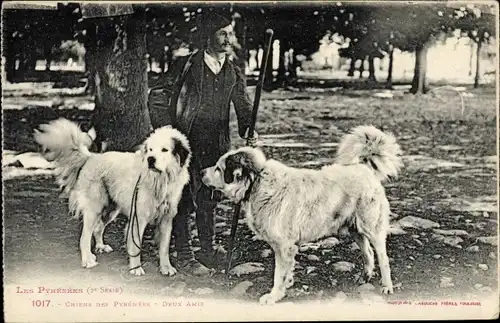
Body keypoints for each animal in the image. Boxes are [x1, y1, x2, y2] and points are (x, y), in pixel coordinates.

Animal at [33, 118, 189, 276]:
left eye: (164, 150)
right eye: (150, 150)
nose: (150, 159)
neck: (160, 180)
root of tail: (92, 157)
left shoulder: (166, 220)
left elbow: (164, 248)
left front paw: (166, 267)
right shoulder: (138, 218)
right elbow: (135, 246)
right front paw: (136, 268)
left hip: (110, 210)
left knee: (98, 228)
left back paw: (101, 246)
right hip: (95, 208)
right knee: (85, 237)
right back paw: (88, 260)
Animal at [199, 125, 402, 306]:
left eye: (218, 168)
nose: (200, 172)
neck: (256, 181)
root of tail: (364, 168)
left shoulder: (283, 246)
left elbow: (278, 274)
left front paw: (274, 296)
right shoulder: (286, 247)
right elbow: (286, 271)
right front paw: (286, 285)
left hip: (372, 228)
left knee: (383, 258)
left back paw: (387, 286)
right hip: (355, 229)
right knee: (368, 253)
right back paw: (364, 277)